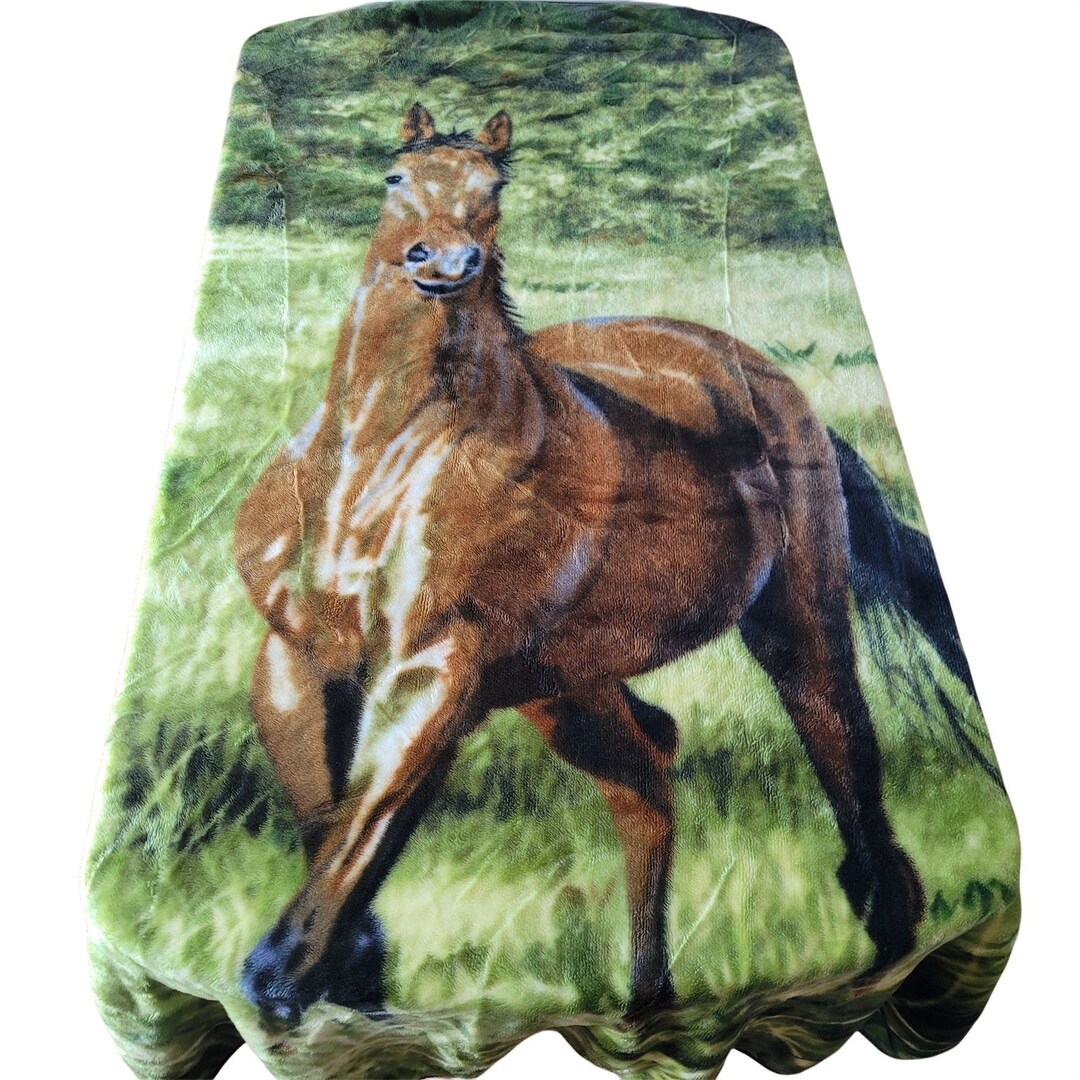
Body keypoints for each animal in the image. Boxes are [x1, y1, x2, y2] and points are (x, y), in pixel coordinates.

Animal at [234, 104, 932, 1024]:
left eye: (492, 189)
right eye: (395, 178)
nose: (442, 263)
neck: (376, 463)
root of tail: (762, 379)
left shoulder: (436, 668)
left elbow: (368, 820)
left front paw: (280, 979)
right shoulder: (295, 660)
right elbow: (331, 819)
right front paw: (347, 980)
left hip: (793, 625)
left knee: (842, 754)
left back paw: (882, 939)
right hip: (562, 686)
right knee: (648, 773)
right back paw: (647, 999)